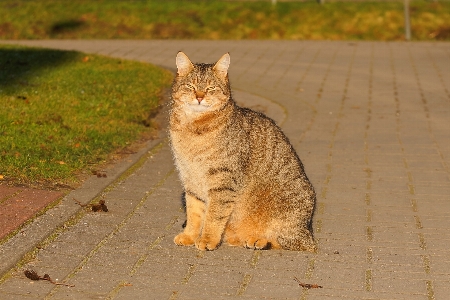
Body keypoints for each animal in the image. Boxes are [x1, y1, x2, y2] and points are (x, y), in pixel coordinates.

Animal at [168, 51, 316, 251]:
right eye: (191, 86)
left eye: (211, 88)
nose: (199, 97)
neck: (192, 128)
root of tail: (309, 229)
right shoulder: (190, 179)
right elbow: (194, 214)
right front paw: (189, 235)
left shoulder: (224, 181)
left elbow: (214, 215)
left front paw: (207, 239)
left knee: (297, 243)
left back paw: (259, 240)